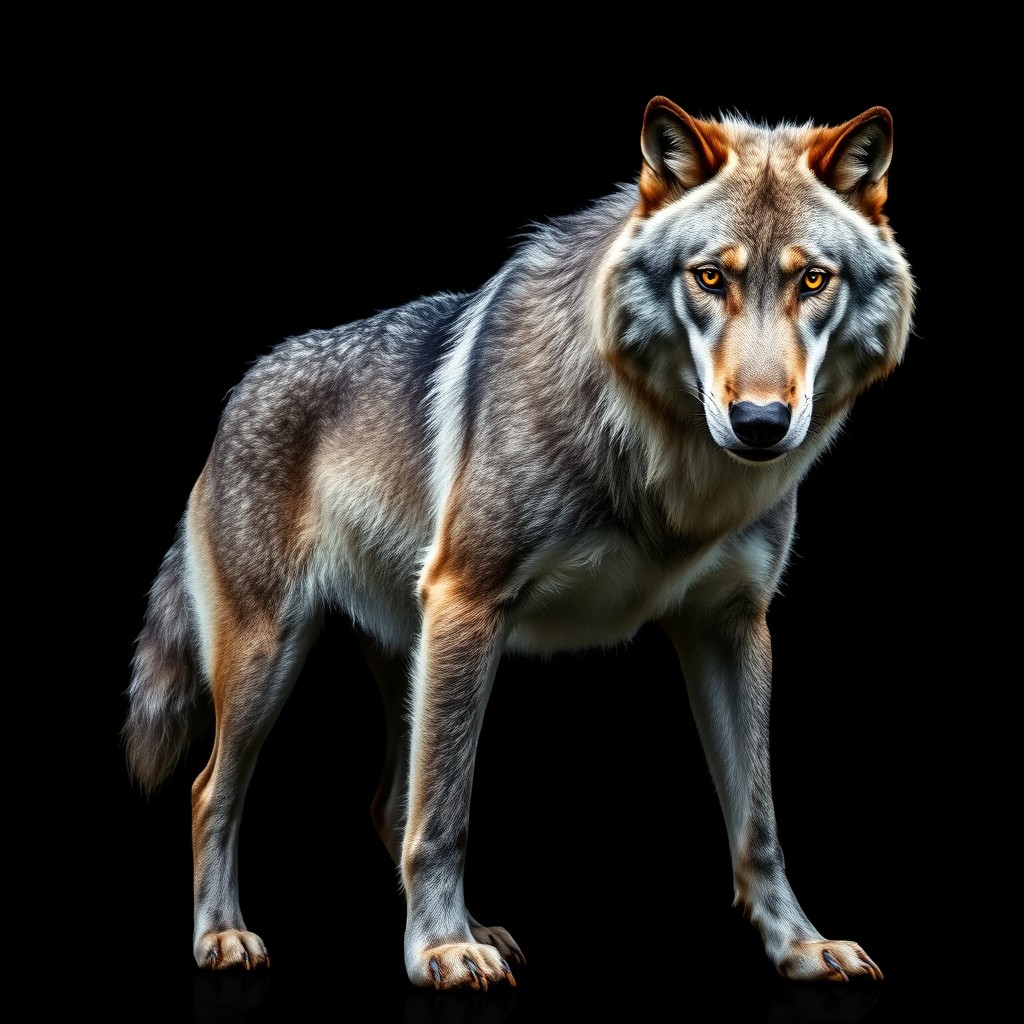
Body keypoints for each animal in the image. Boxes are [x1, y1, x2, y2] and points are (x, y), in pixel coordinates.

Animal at [125, 96, 914, 989]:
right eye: (710, 277)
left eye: (812, 280)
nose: (759, 423)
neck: (669, 470)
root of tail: (238, 394)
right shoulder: (469, 598)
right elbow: (446, 816)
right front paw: (437, 949)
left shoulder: (731, 623)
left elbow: (759, 823)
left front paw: (800, 945)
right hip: (278, 660)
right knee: (215, 791)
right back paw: (223, 935)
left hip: (410, 655)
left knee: (389, 801)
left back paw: (479, 927)